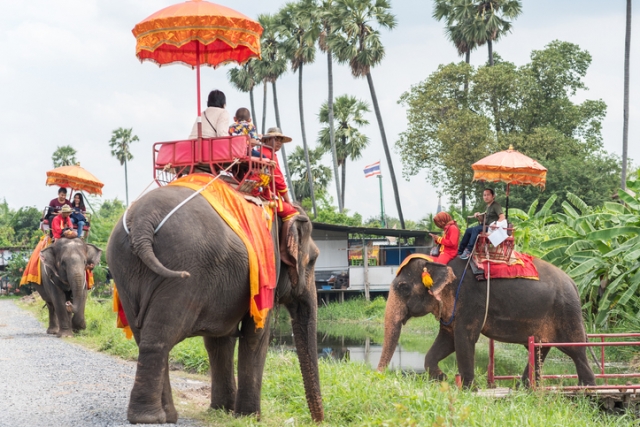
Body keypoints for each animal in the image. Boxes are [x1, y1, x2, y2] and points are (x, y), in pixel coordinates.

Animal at [106, 187, 324, 424]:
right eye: (314, 260)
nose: (318, 420)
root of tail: (142, 222)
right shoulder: (266, 271)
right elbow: (255, 336)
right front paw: (249, 417)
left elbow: (219, 340)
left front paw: (222, 410)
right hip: (185, 272)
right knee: (160, 337)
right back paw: (150, 418)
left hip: (123, 269)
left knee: (144, 336)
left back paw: (167, 416)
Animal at [378, 256, 596, 390]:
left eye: (403, 287)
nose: (378, 377)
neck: (438, 262)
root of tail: (574, 282)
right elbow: (447, 340)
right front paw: (442, 378)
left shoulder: (470, 300)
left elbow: (463, 339)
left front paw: (469, 390)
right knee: (540, 348)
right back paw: (523, 388)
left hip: (566, 312)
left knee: (576, 350)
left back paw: (588, 390)